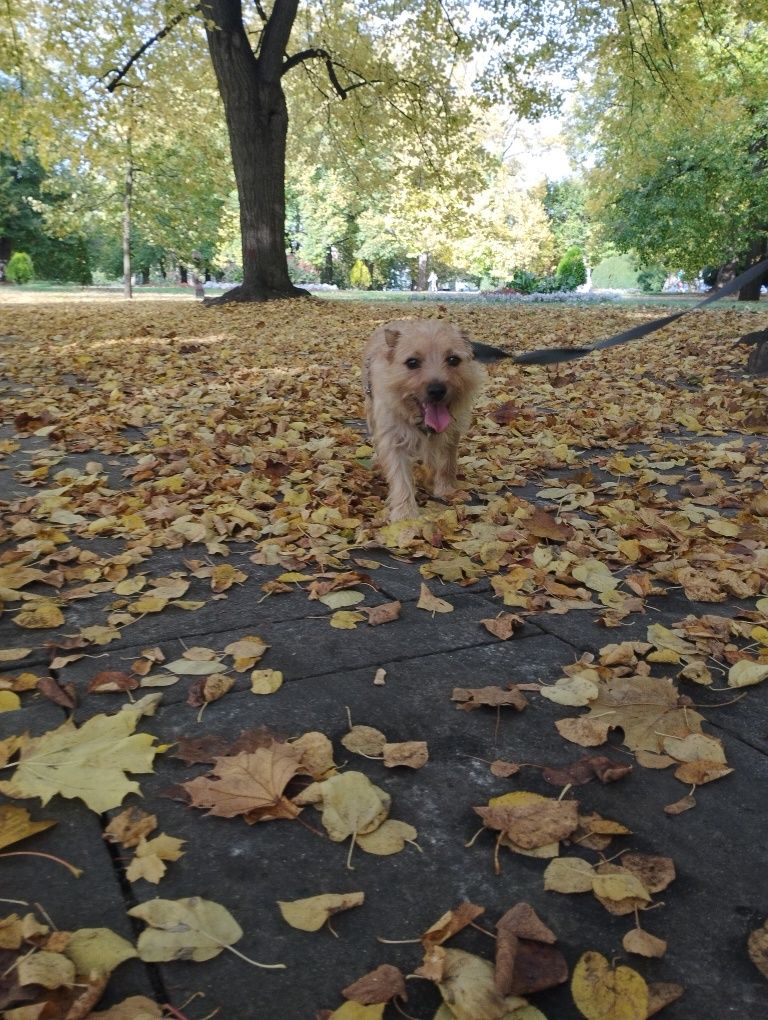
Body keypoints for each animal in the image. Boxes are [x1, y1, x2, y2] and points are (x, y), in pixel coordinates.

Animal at [361, 318, 481, 522]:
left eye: (453, 359)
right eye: (412, 362)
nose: (437, 390)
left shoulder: (451, 433)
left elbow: (446, 462)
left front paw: (446, 489)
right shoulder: (393, 438)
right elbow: (400, 475)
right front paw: (405, 512)